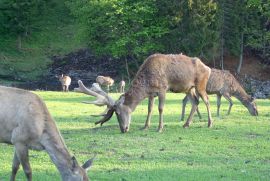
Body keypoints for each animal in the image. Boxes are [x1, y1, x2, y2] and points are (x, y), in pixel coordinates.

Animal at [74, 53, 213, 133]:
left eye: (118, 113)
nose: (124, 129)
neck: (147, 82)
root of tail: (208, 68)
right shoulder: (151, 93)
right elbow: (149, 109)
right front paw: (145, 126)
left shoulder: (162, 88)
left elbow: (160, 108)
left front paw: (159, 128)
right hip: (188, 88)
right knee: (195, 101)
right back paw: (186, 124)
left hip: (201, 84)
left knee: (206, 100)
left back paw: (210, 123)